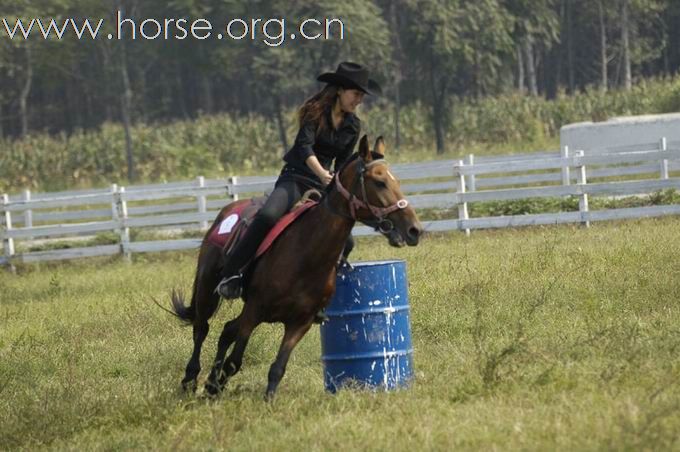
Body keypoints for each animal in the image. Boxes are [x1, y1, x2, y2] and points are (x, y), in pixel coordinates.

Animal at [170, 134, 420, 400]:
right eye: (380, 182)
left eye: (396, 181)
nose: (413, 229)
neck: (305, 256)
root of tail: (226, 211)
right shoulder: (254, 311)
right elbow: (235, 361)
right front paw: (215, 386)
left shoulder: (300, 323)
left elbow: (277, 368)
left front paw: (260, 398)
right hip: (208, 287)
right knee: (201, 328)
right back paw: (190, 380)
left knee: (226, 330)